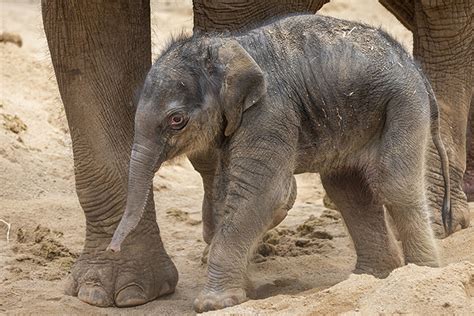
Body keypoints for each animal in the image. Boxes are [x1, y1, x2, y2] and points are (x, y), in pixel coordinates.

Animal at [42, 0, 472, 308]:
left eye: (177, 120)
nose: (113, 246)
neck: (232, 50)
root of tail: (413, 69)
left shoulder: (270, 112)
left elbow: (264, 193)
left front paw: (214, 303)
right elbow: (226, 191)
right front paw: (242, 290)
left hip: (404, 106)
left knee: (394, 184)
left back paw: (419, 276)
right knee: (348, 190)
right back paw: (371, 279)